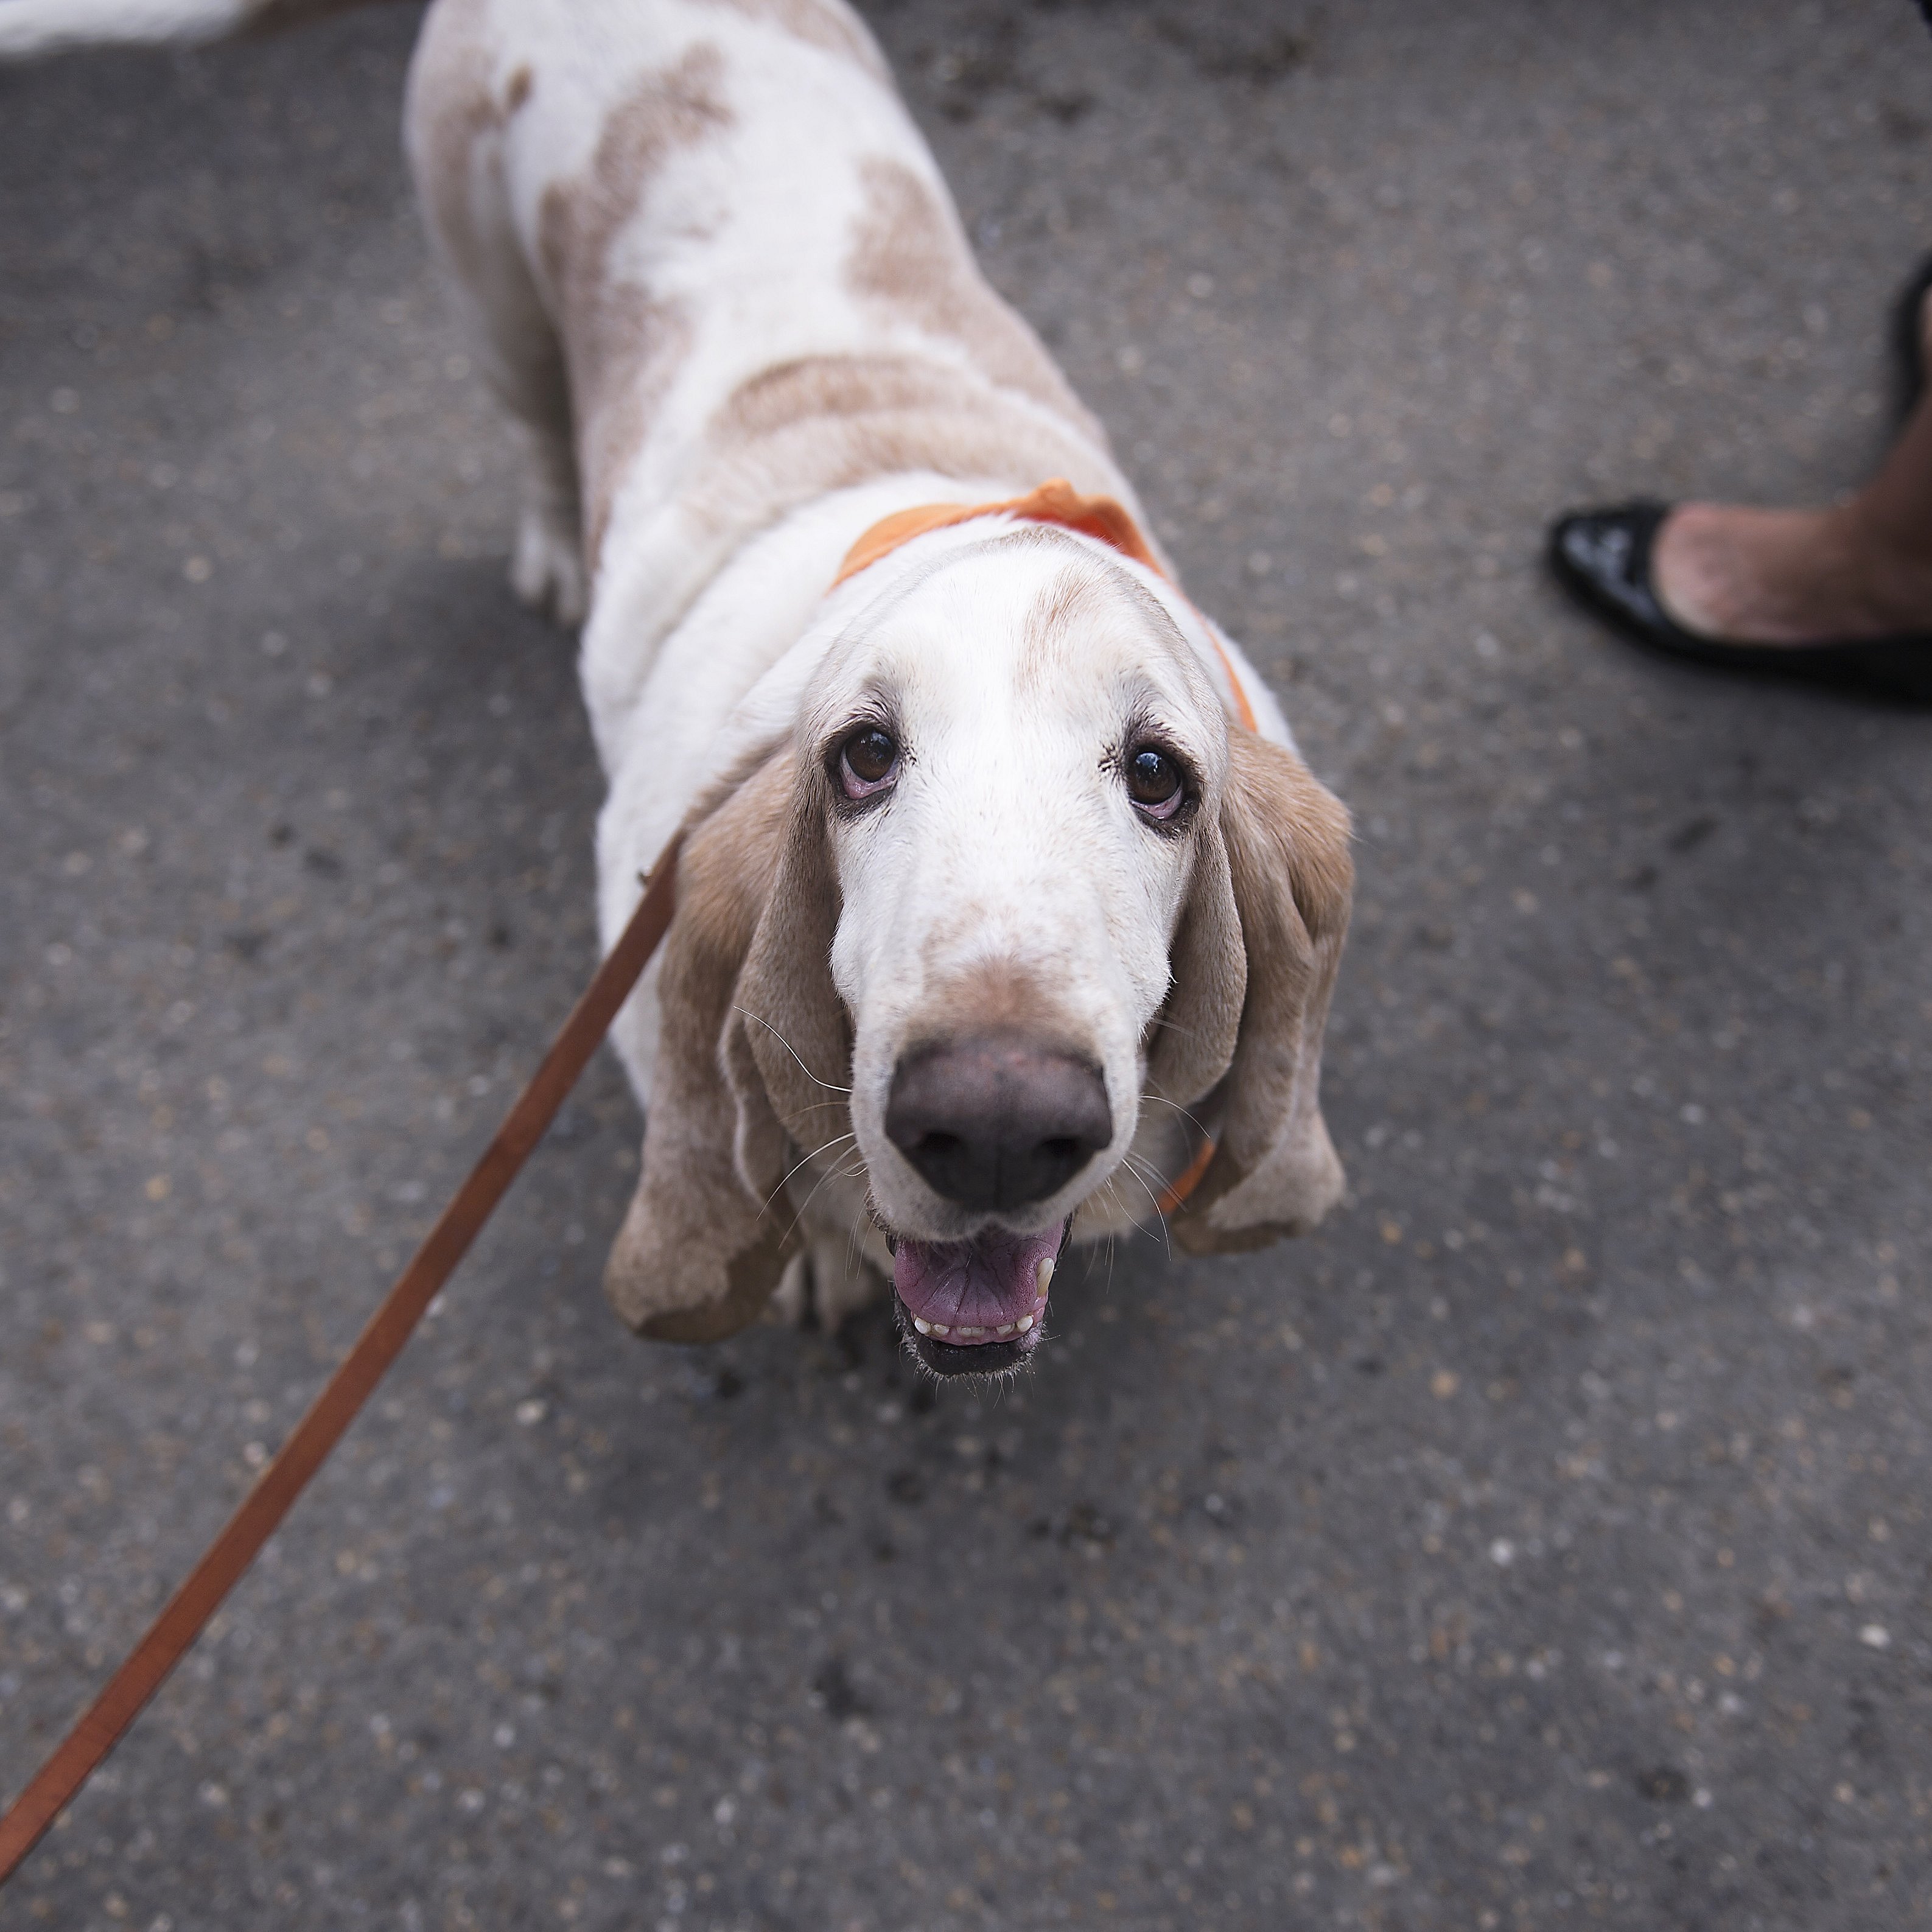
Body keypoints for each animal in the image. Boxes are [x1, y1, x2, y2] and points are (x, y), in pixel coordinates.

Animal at [4, 0, 1360, 1375]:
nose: (992, 1123)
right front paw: (811, 1254)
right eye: (863, 755)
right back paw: (558, 551)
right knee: (538, 432)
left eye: (1158, 776)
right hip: (488, 296)